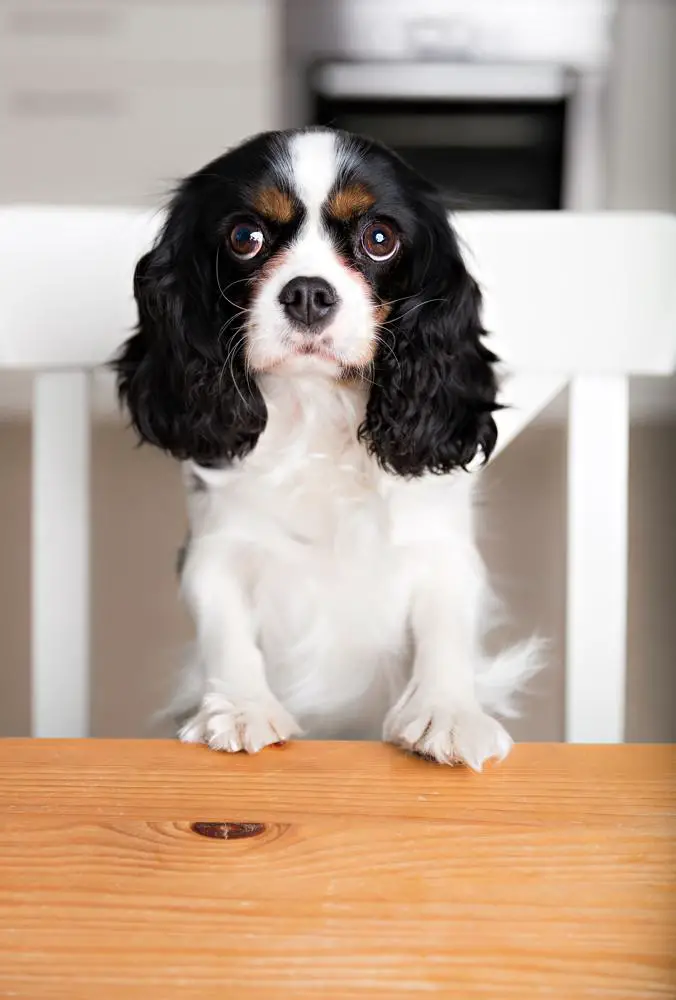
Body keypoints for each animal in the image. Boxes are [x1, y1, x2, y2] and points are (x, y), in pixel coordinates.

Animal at [115, 123, 540, 764]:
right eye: (245, 237)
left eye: (380, 238)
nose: (309, 293)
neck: (315, 409)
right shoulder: (217, 545)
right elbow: (225, 627)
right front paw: (241, 707)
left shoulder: (441, 548)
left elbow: (445, 627)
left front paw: (447, 712)